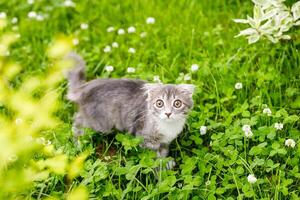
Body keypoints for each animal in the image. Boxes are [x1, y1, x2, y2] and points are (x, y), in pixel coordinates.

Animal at [65, 52, 195, 161]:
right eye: (160, 103)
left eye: (177, 103)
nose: (168, 113)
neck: (168, 126)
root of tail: (85, 87)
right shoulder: (144, 137)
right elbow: (153, 157)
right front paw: (160, 167)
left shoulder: (165, 141)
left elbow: (164, 151)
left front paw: (166, 162)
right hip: (101, 123)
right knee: (77, 120)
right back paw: (78, 142)